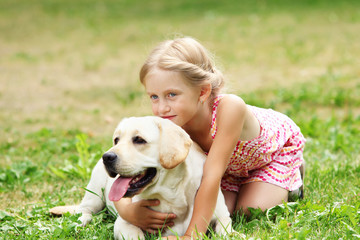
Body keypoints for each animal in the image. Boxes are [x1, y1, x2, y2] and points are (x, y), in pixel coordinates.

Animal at [50, 116, 231, 238]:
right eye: (116, 140)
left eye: (139, 140)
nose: (106, 157)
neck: (170, 195)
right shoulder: (124, 222)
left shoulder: (223, 217)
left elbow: (226, 231)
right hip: (94, 192)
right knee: (85, 210)